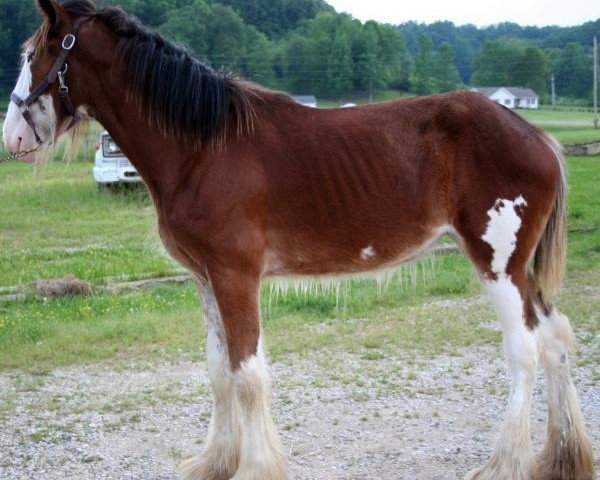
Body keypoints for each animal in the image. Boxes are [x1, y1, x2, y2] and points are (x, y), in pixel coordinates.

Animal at [1, 0, 596, 480]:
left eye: (33, 54)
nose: (13, 138)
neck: (203, 147)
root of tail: (538, 138)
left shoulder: (237, 277)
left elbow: (247, 375)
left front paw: (255, 467)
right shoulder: (205, 280)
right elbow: (219, 372)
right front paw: (216, 461)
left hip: (498, 264)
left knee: (524, 351)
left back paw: (506, 463)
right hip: (522, 272)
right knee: (555, 338)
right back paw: (560, 457)